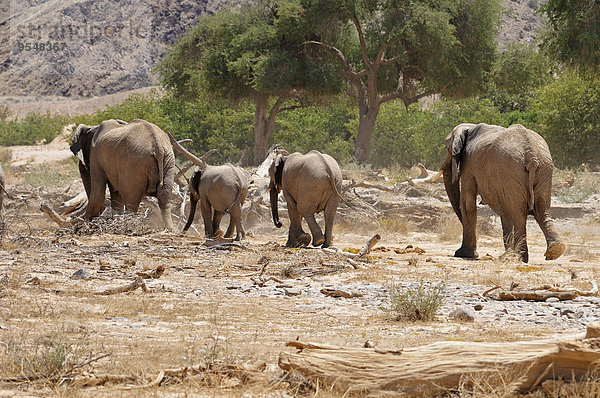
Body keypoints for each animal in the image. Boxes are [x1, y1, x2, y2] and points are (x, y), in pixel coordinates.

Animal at [442, 123, 564, 262]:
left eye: (448, 148)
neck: (469, 127)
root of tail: (531, 155)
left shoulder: (469, 166)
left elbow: (467, 204)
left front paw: (464, 254)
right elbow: (504, 210)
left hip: (512, 170)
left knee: (518, 213)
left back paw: (518, 257)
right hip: (544, 168)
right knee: (540, 210)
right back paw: (553, 251)